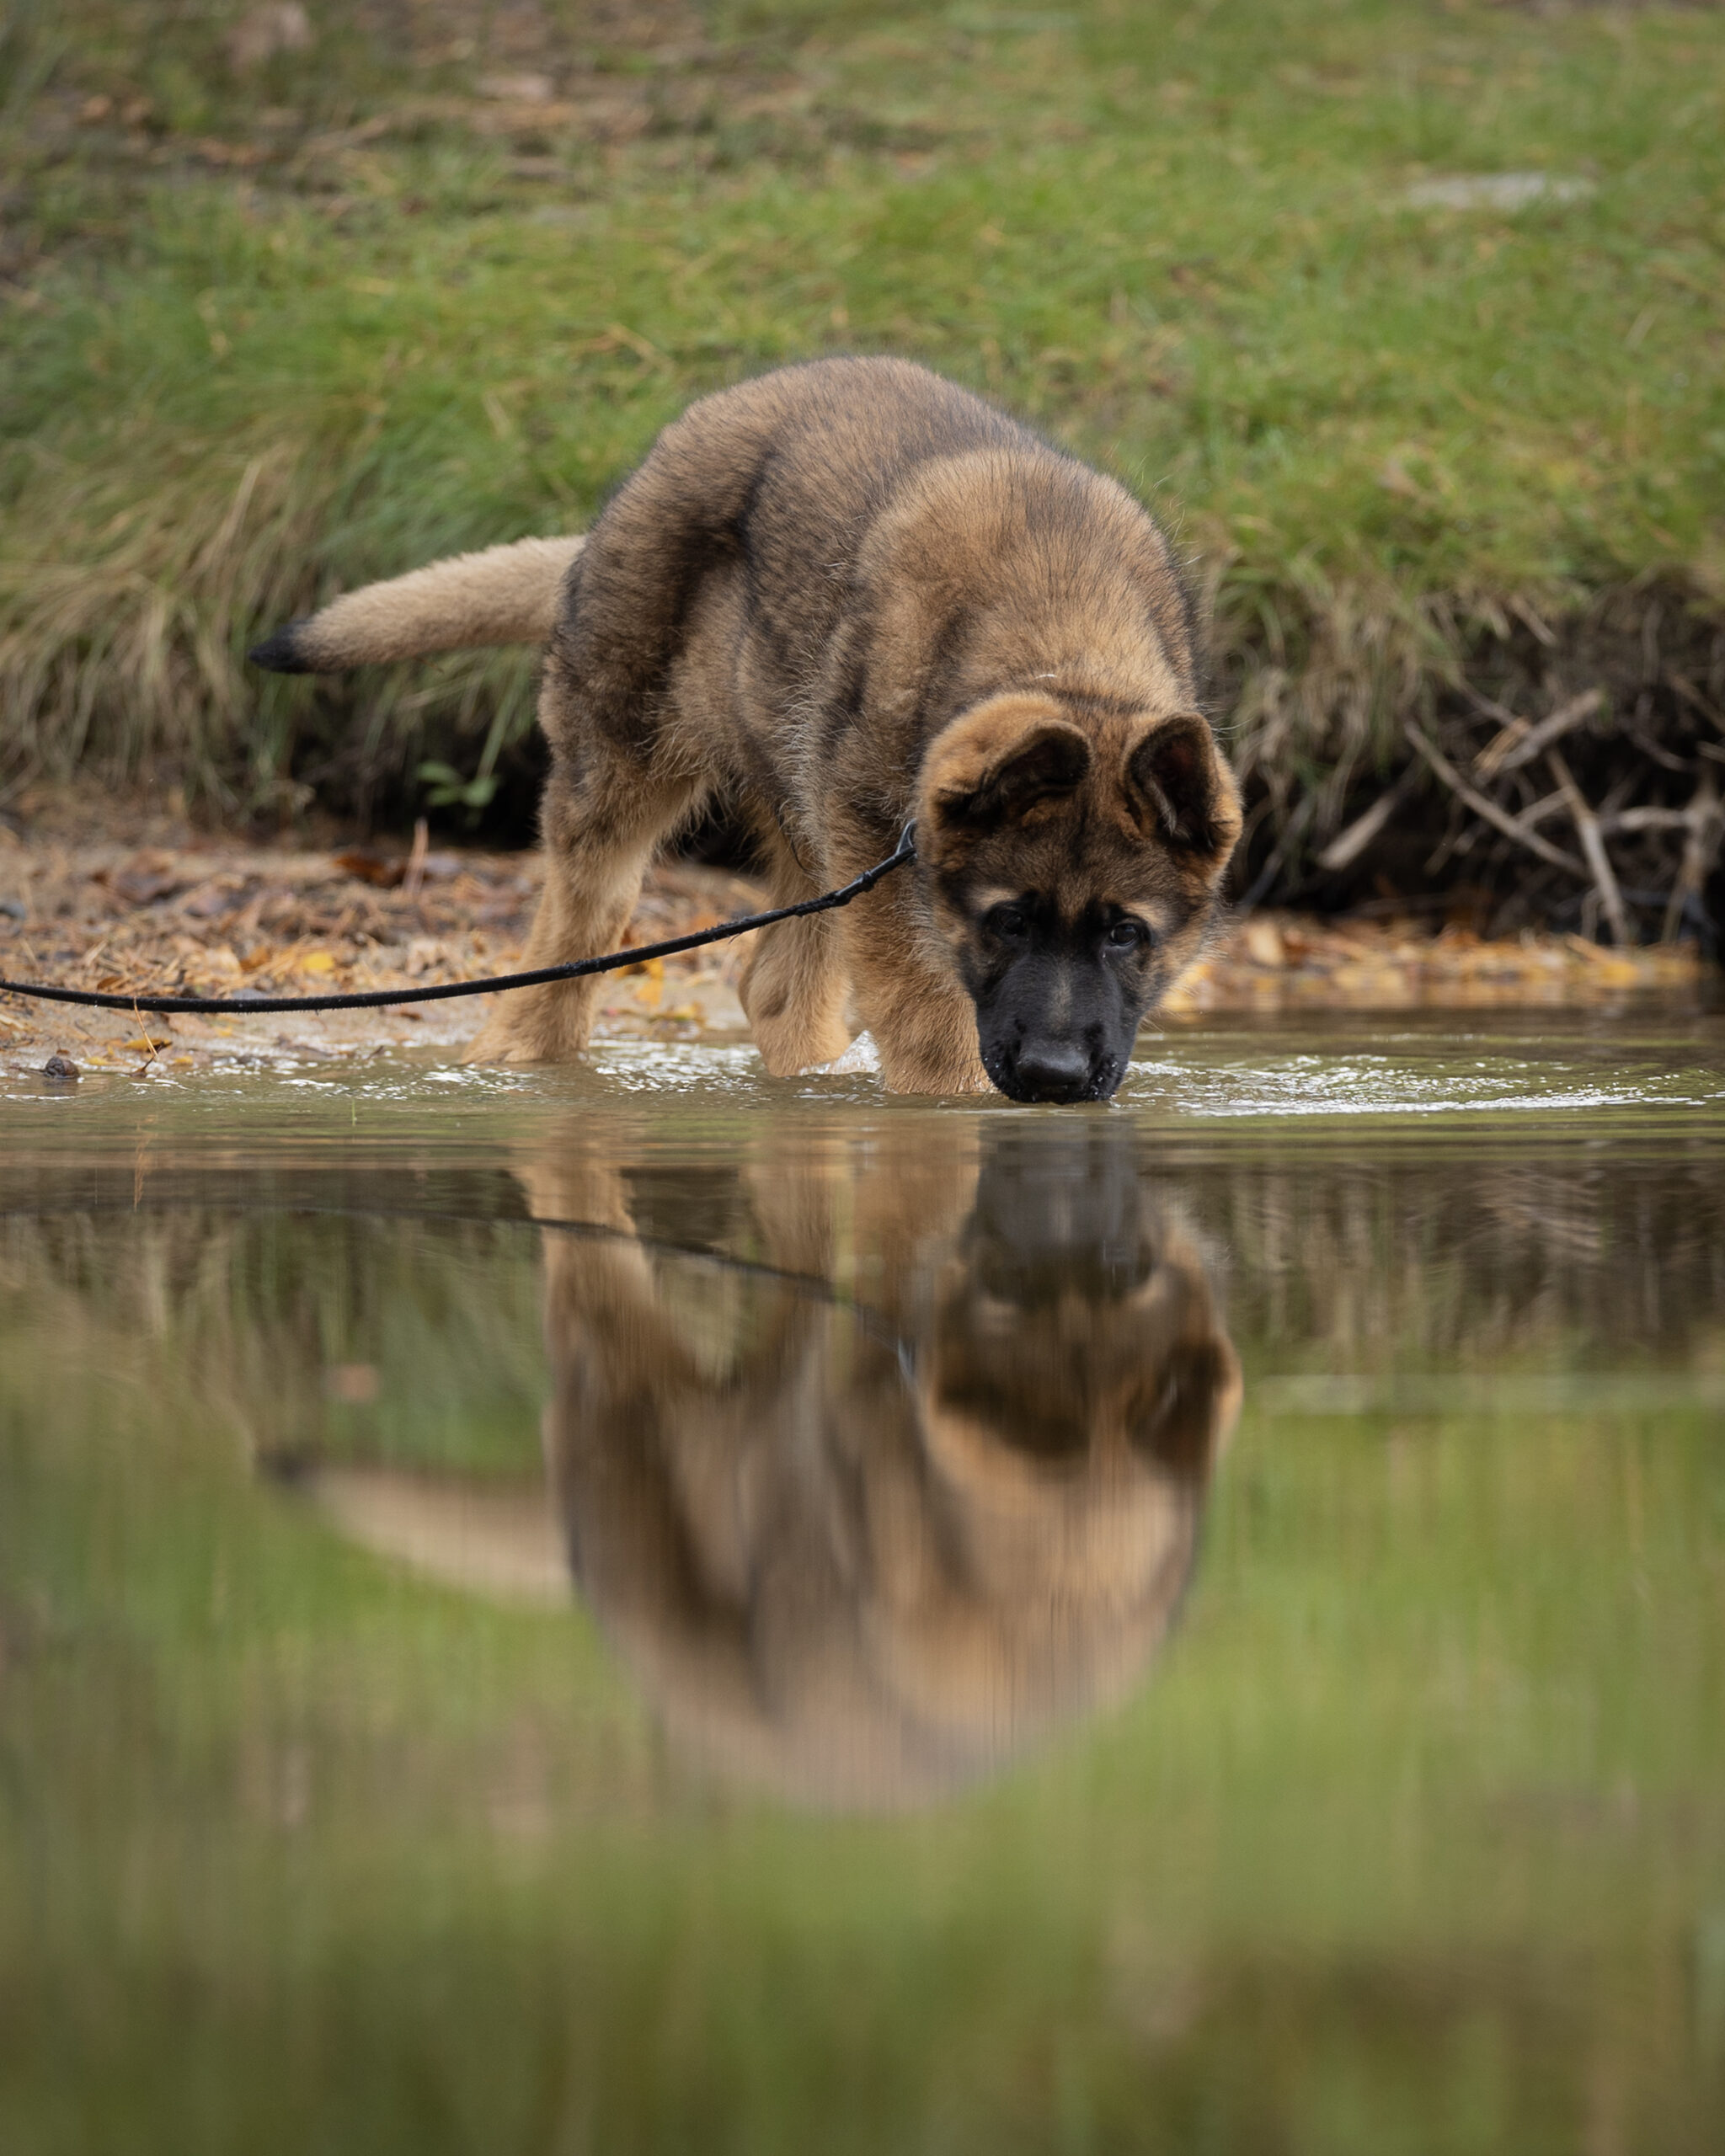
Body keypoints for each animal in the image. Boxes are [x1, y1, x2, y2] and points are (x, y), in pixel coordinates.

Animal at [252, 357, 1242, 1095]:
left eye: (1127, 934)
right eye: (1006, 920)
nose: (1052, 1077)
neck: (1057, 642)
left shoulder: (864, 851)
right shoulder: (879, 851)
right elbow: (927, 1022)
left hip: (804, 820)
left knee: (768, 987)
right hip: (626, 780)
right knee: (564, 956)